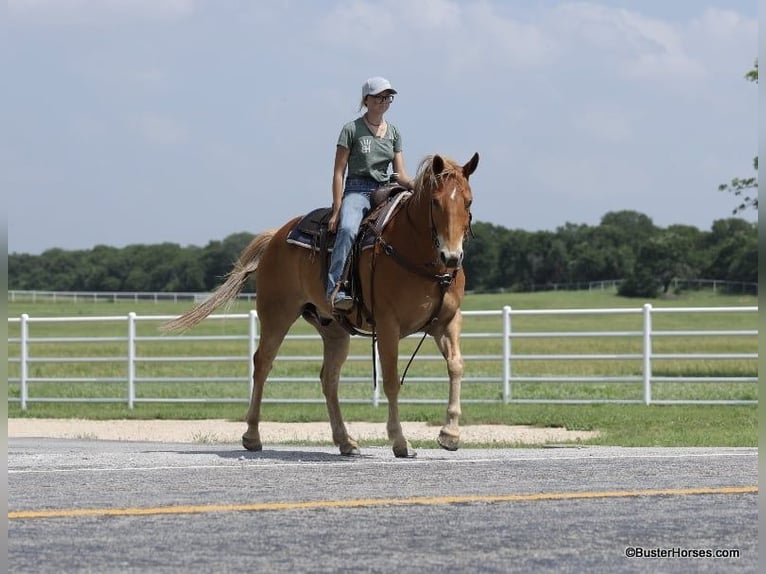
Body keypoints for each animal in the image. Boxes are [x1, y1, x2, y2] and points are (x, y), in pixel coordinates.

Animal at [164, 153, 480, 460]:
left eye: (468, 201)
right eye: (435, 202)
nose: (452, 256)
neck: (415, 251)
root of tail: (276, 236)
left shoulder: (447, 322)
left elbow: (457, 366)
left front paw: (450, 434)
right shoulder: (388, 325)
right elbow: (391, 380)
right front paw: (400, 442)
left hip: (334, 330)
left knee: (329, 378)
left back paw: (345, 441)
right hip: (276, 316)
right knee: (262, 364)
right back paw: (252, 436)